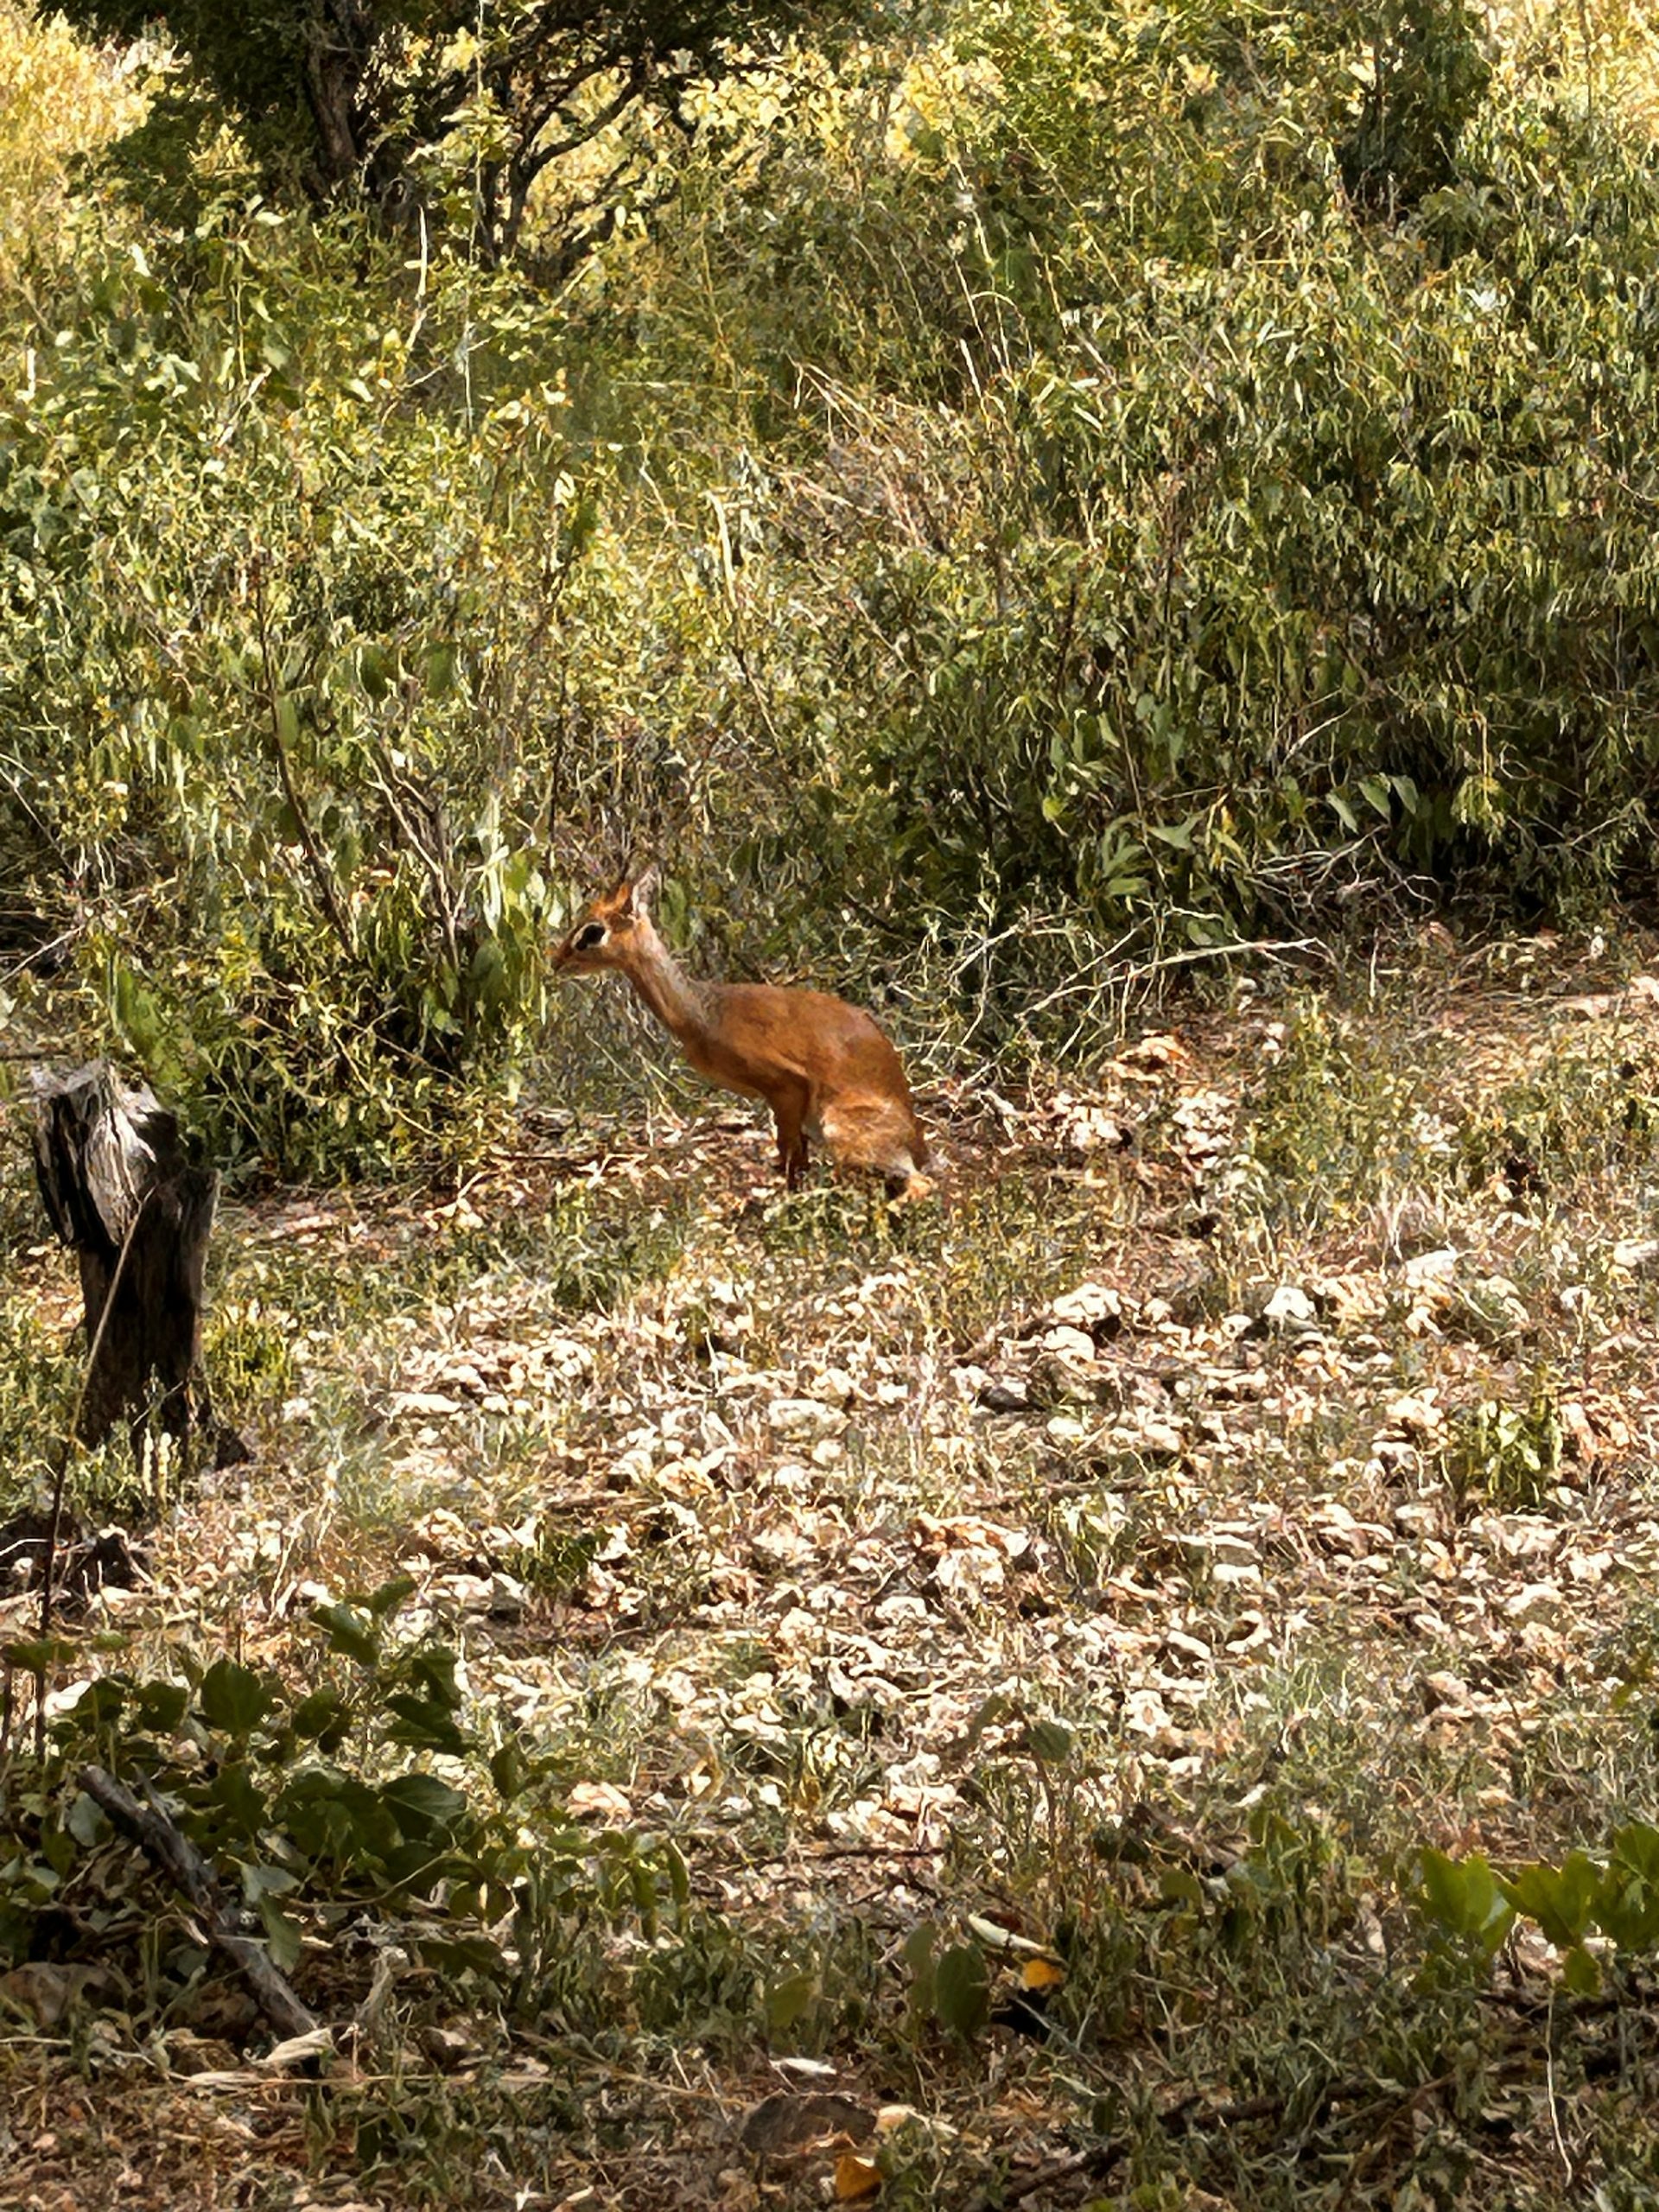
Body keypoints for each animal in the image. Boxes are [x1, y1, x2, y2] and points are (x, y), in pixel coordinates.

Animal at [553, 868, 933, 1197]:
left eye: (592, 932)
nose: (556, 961)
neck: (704, 1014)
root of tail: (915, 1141)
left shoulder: (787, 1086)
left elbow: (791, 1159)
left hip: (838, 1126)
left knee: (919, 1185)